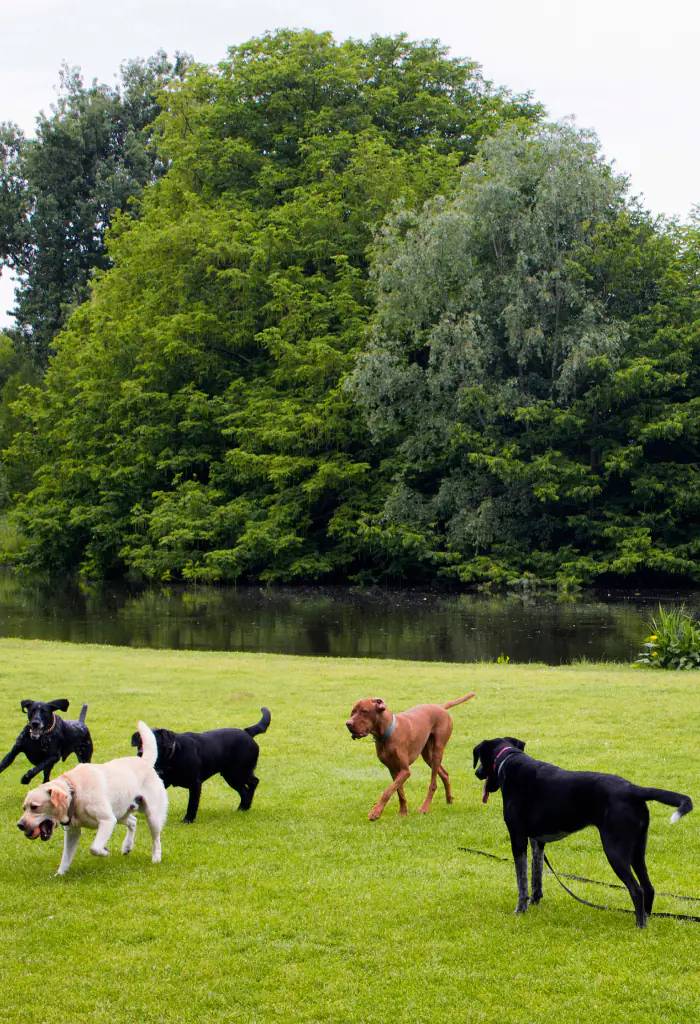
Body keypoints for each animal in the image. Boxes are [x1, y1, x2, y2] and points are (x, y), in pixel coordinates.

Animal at [130, 704, 270, 823]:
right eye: (140, 741)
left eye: (154, 742)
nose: (140, 752)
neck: (172, 756)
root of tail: (247, 732)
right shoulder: (162, 781)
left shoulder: (195, 783)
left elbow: (192, 804)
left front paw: (187, 820)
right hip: (230, 776)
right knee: (244, 790)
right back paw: (243, 808)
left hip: (238, 772)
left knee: (253, 782)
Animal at [343, 692, 474, 819]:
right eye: (353, 711)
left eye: (364, 711)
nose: (348, 724)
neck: (386, 734)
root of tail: (440, 707)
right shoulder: (393, 770)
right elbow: (399, 792)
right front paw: (403, 812)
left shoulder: (405, 770)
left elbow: (388, 791)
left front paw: (376, 812)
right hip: (428, 755)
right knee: (444, 773)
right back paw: (449, 798)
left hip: (438, 750)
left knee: (433, 783)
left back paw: (425, 807)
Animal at [472, 737, 691, 929]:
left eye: (480, 760)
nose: (477, 772)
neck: (508, 760)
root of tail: (633, 789)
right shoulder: (537, 842)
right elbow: (536, 877)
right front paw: (535, 902)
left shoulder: (517, 838)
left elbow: (522, 881)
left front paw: (520, 910)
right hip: (637, 850)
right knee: (648, 887)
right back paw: (646, 919)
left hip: (615, 850)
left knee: (636, 889)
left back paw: (639, 925)